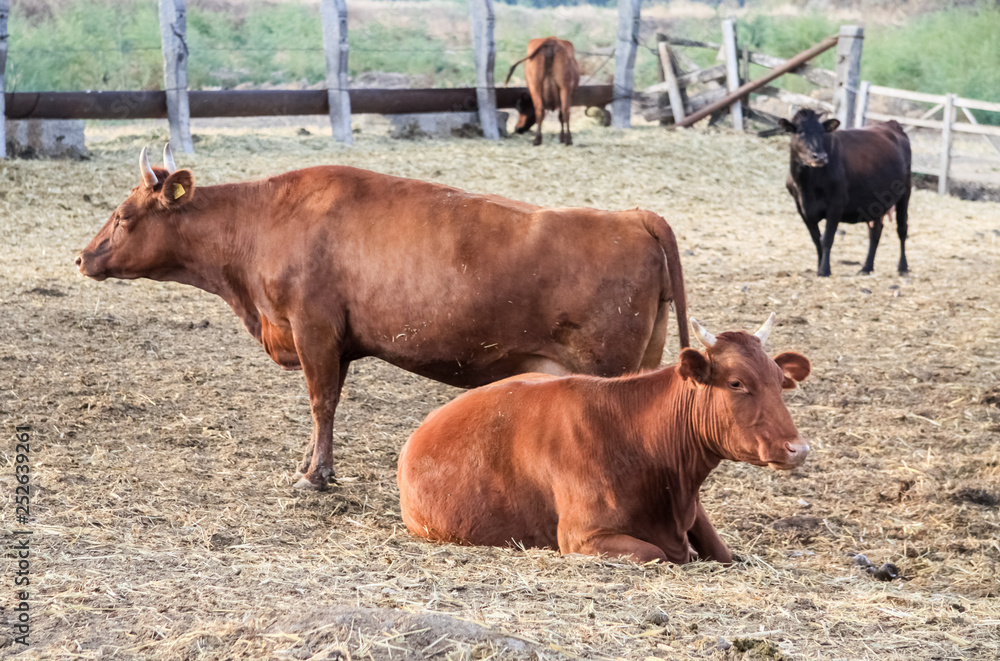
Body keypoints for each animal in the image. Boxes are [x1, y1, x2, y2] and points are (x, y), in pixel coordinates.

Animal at [76, 145, 690, 491]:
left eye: (123, 216)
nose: (82, 257)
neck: (261, 222)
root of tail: (633, 215)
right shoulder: (338, 342)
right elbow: (325, 406)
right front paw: (311, 464)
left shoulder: (314, 330)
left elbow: (321, 402)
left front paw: (315, 478)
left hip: (606, 365)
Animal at [397, 314, 811, 564]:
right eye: (736, 383)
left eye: (780, 381)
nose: (798, 448)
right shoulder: (582, 536)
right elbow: (656, 553)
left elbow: (722, 553)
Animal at [780, 108, 911, 277]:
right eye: (800, 132)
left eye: (822, 132)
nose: (820, 157)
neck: (806, 185)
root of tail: (891, 123)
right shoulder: (802, 208)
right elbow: (816, 239)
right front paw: (819, 267)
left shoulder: (836, 204)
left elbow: (827, 239)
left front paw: (824, 270)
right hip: (876, 201)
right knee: (875, 231)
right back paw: (866, 267)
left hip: (905, 193)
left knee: (902, 229)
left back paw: (903, 267)